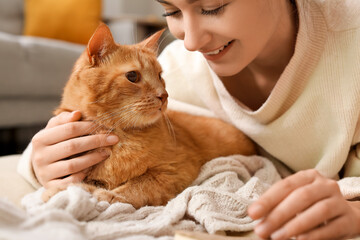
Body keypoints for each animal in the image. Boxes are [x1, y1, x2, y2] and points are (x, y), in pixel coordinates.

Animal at [42, 23, 256, 209]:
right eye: (133, 76)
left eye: (160, 76)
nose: (164, 95)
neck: (120, 138)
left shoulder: (175, 170)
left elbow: (138, 186)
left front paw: (107, 195)